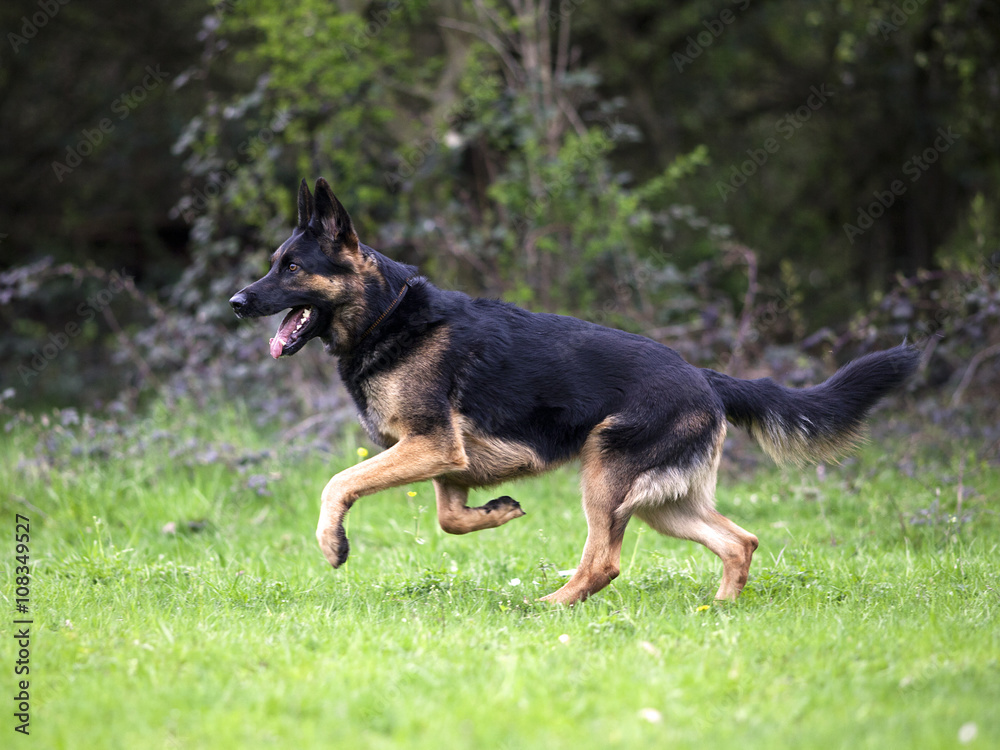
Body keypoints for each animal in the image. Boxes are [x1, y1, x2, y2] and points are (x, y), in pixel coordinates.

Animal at [232, 179, 920, 608]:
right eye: (273, 263)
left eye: (291, 268)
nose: (237, 301)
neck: (387, 316)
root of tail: (705, 376)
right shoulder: (445, 459)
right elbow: (450, 518)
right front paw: (498, 512)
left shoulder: (428, 448)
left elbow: (338, 484)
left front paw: (333, 544)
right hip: (663, 504)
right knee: (738, 541)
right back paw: (719, 609)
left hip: (605, 476)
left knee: (605, 561)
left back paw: (551, 605)